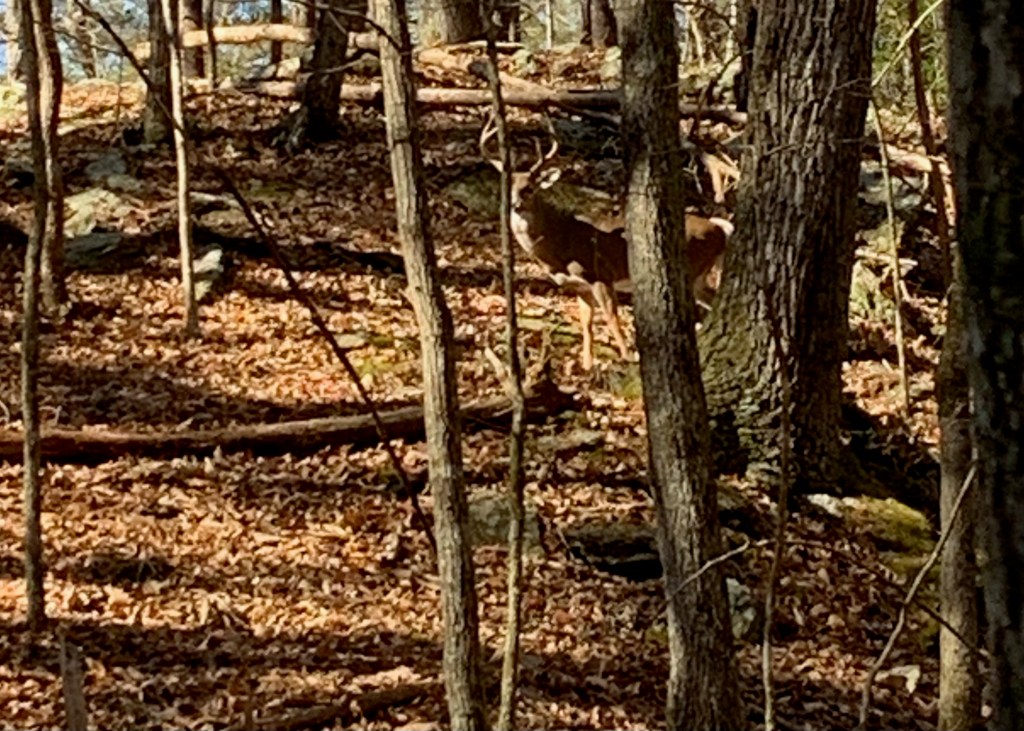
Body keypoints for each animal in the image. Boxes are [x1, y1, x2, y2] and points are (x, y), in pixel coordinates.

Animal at [480, 115, 733, 370]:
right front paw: (587, 365)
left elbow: (612, 319)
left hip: (692, 270)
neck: (558, 246)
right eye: (507, 189)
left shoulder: (601, 274)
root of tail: (721, 230)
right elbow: (587, 323)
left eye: (529, 189)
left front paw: (628, 358)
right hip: (698, 277)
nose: (514, 205)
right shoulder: (578, 286)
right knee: (711, 298)